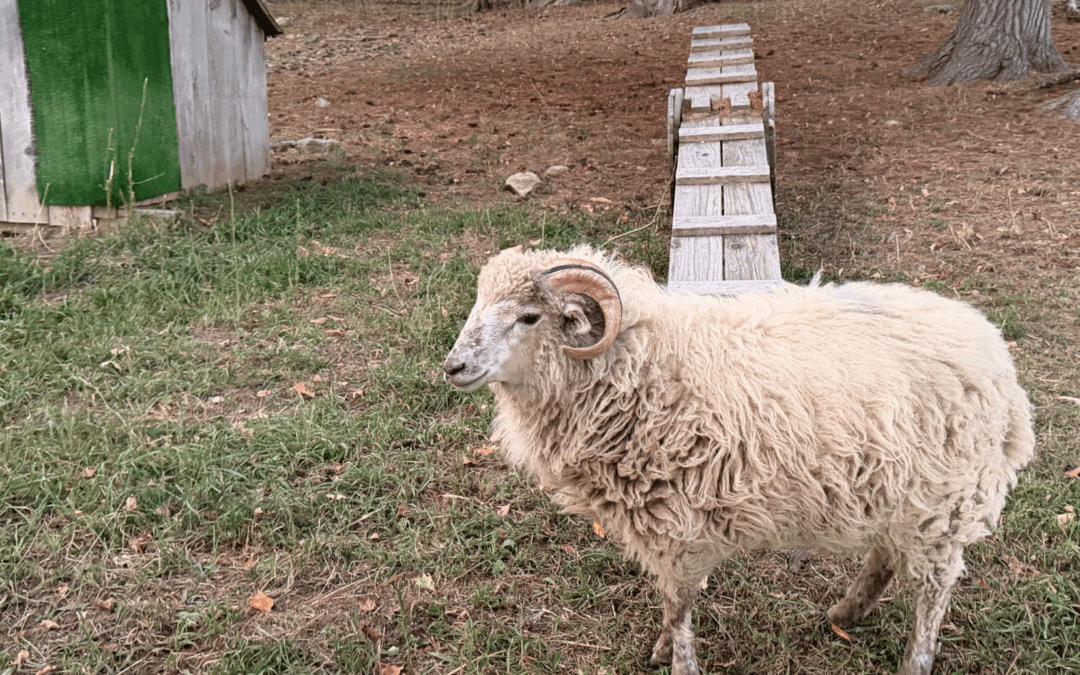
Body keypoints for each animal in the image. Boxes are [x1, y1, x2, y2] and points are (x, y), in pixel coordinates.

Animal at [443, 245, 1035, 675]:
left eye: (529, 316)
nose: (453, 366)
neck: (640, 368)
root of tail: (996, 356)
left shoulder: (677, 525)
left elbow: (679, 605)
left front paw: (676, 660)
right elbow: (671, 603)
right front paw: (661, 649)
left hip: (944, 504)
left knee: (933, 593)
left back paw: (915, 659)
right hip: (898, 492)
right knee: (885, 557)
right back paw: (844, 613)